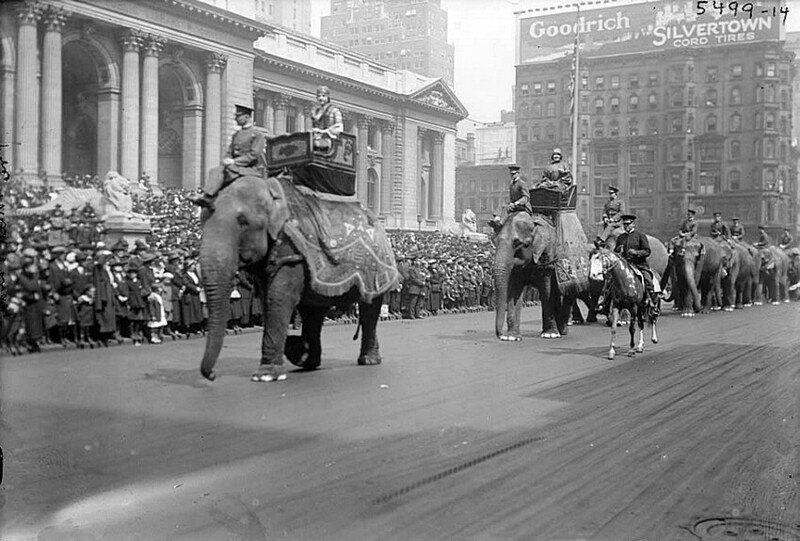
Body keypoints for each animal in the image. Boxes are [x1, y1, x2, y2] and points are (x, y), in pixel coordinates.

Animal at [198, 175, 398, 382]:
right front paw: (297, 351)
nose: (212, 375)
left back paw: (368, 361)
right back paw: (310, 363)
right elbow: (268, 300)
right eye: (202, 219)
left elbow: (279, 298)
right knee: (314, 312)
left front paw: (266, 375)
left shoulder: (291, 251)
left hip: (378, 268)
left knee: (369, 310)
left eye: (243, 221)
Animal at [490, 210, 592, 338]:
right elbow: (515, 290)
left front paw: (550, 335)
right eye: (494, 242)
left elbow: (546, 290)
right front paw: (511, 336)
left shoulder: (547, 258)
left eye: (518, 243)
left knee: (569, 292)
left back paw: (562, 329)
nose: (500, 334)